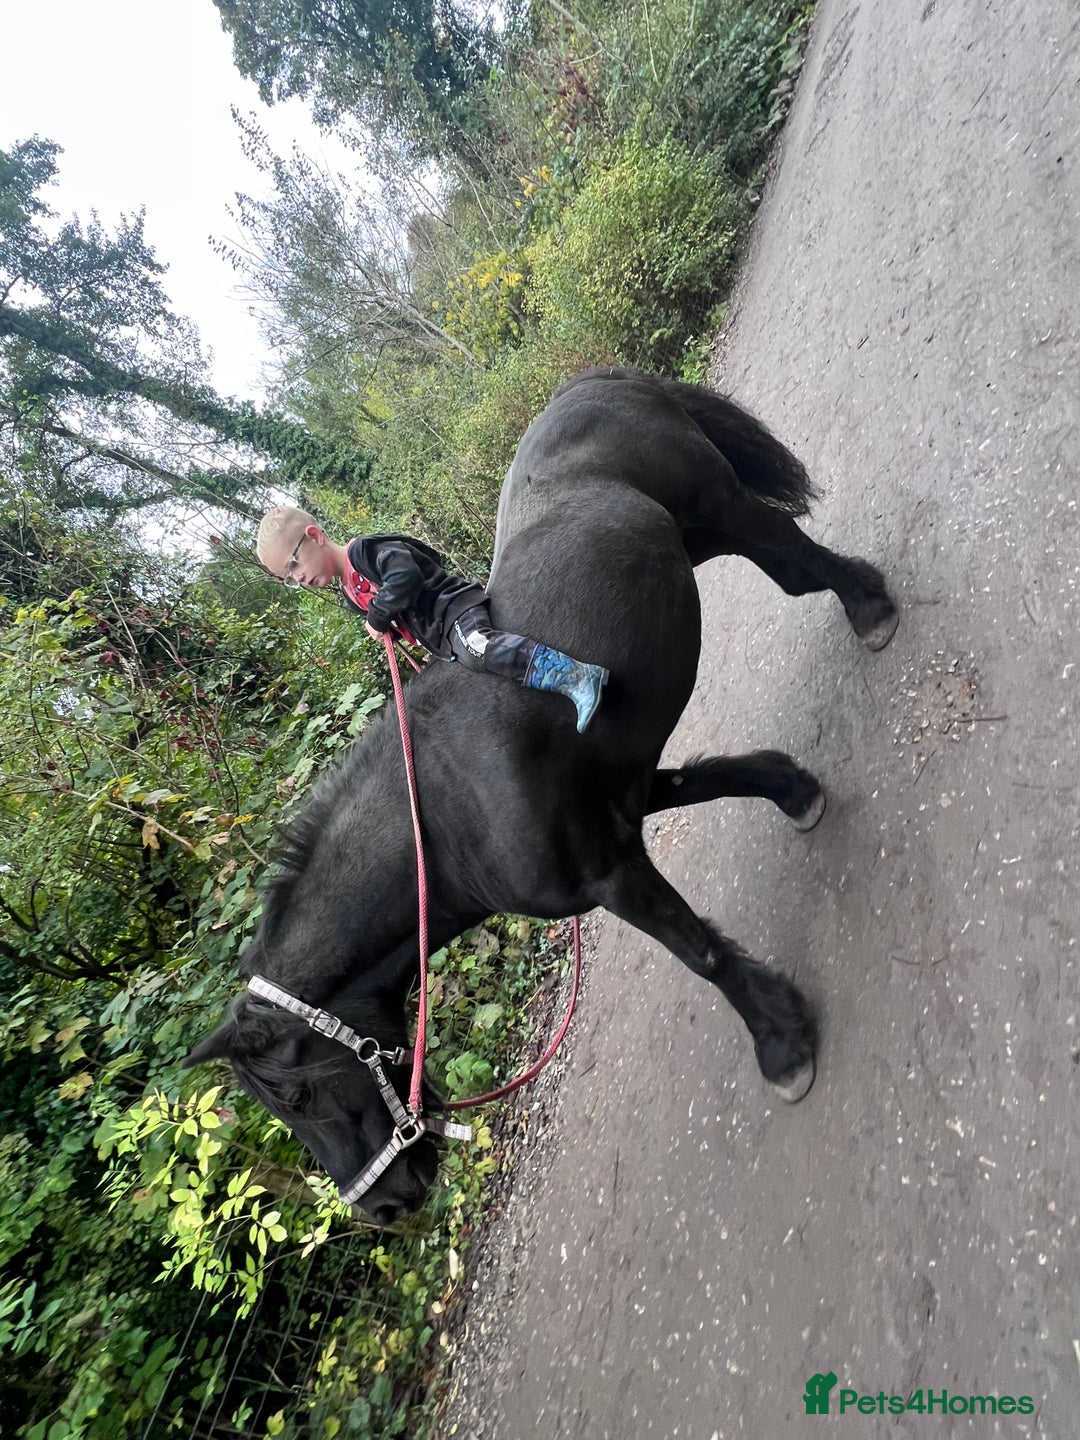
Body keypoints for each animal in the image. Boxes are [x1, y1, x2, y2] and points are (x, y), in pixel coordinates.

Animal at [184, 367, 898, 1225]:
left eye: (292, 1093)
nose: (381, 1204)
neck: (448, 814)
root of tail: (588, 386)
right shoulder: (623, 802)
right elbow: (714, 777)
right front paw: (793, 790)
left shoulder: (611, 872)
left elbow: (700, 952)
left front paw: (781, 1044)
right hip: (695, 533)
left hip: (721, 506)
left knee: (791, 558)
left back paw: (868, 605)